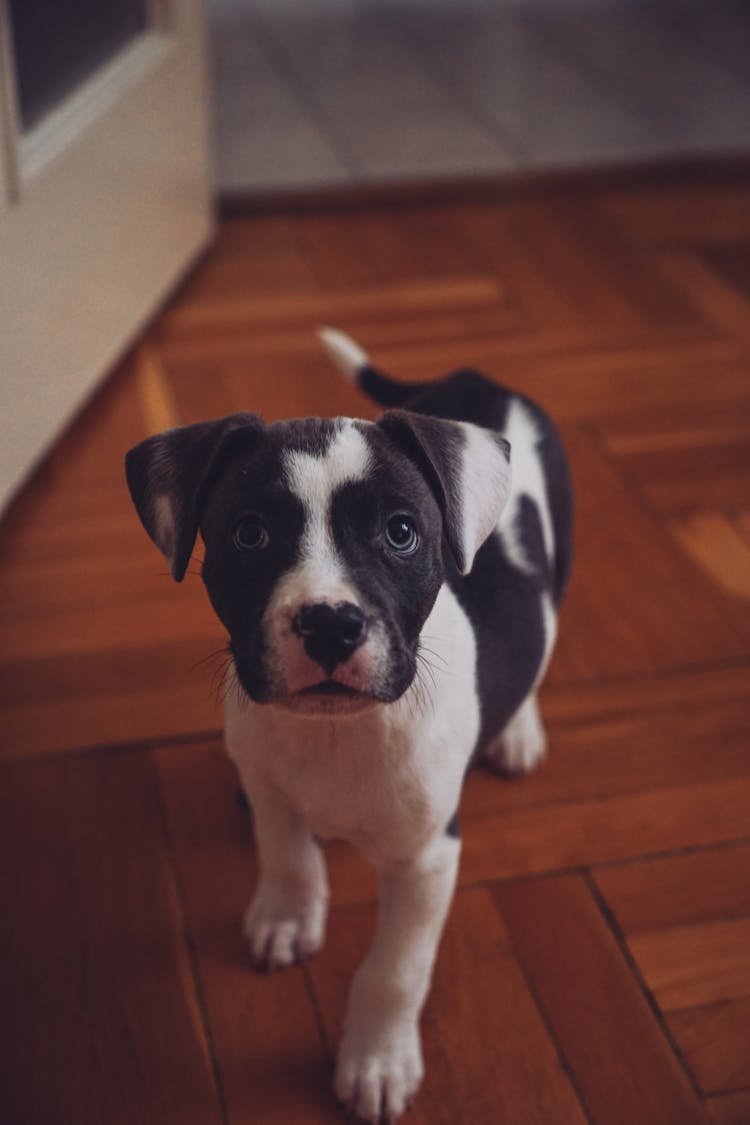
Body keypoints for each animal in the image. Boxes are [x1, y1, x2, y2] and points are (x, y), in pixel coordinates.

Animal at [127, 330, 575, 1125]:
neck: (338, 735)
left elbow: (394, 970)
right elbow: (286, 853)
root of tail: (478, 378)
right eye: (250, 534)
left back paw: (517, 727)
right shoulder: (269, 783)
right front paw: (287, 912)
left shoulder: (428, 859)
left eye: (401, 532)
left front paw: (377, 1060)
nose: (330, 624)